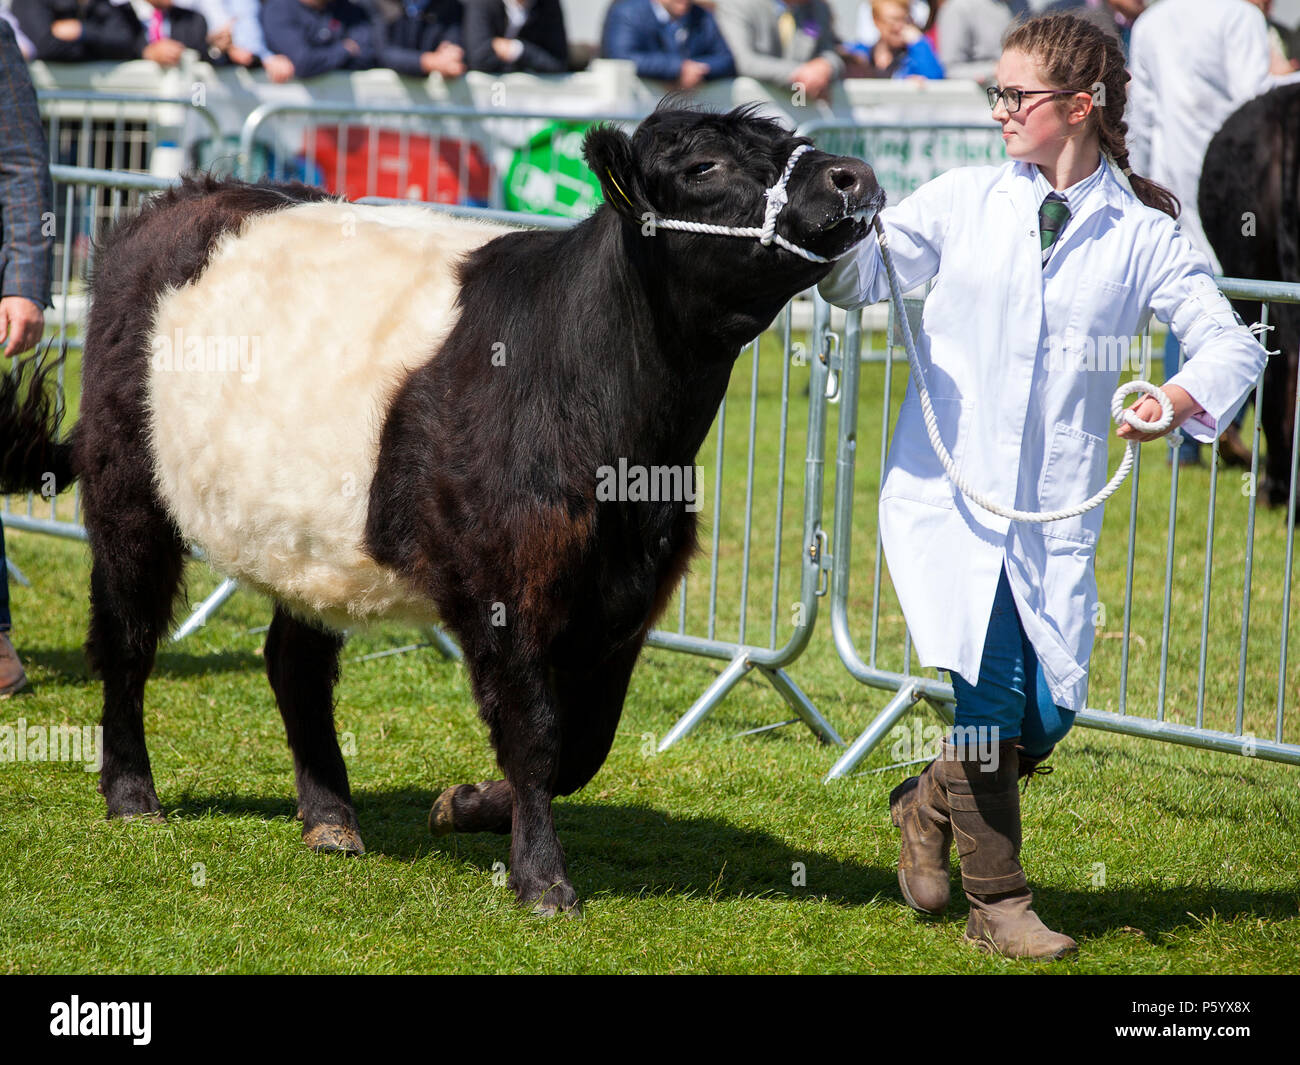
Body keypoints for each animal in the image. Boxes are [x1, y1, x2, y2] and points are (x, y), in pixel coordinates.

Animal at [0, 105, 882, 914]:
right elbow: (536, 732)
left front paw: (466, 804)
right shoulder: (506, 586)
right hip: (127, 491)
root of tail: (180, 198)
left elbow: (585, 744)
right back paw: (133, 796)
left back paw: (330, 817)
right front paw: (543, 880)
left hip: (309, 541)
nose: (854, 176)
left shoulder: (626, 594)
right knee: (126, 638)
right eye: (703, 166)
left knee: (293, 662)